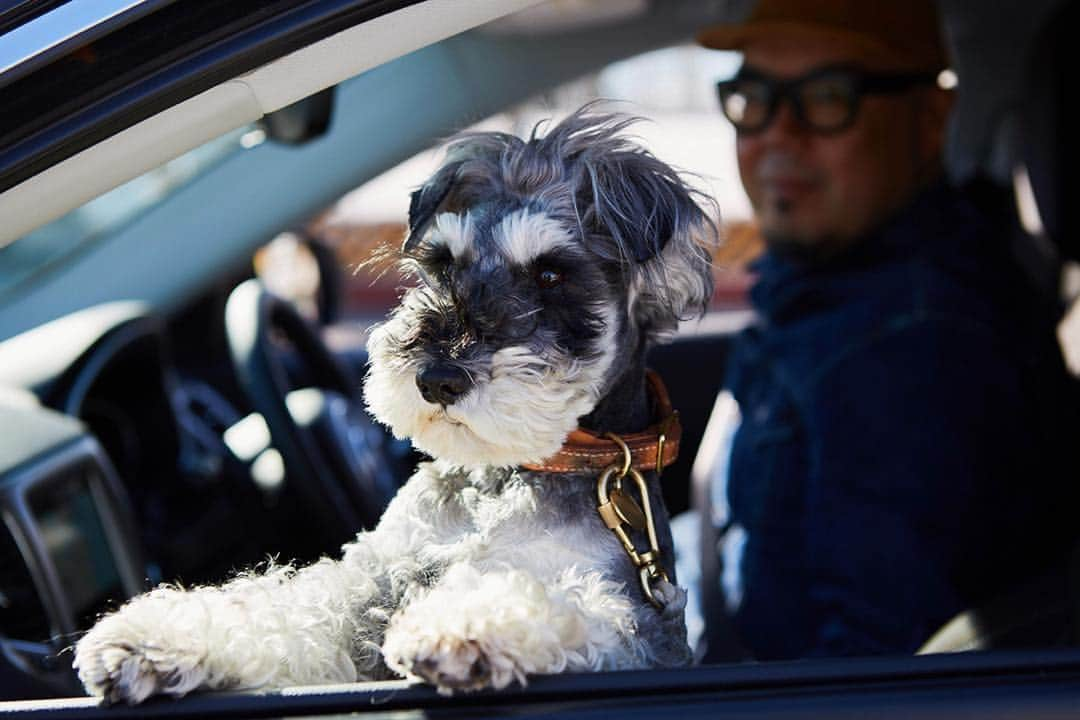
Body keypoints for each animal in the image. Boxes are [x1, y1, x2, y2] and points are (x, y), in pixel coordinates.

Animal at [73, 106, 717, 703]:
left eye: (551, 274)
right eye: (444, 263)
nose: (436, 379)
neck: (508, 473)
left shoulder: (640, 628)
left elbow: (573, 606)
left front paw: (463, 625)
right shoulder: (375, 578)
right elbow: (292, 602)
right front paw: (155, 636)